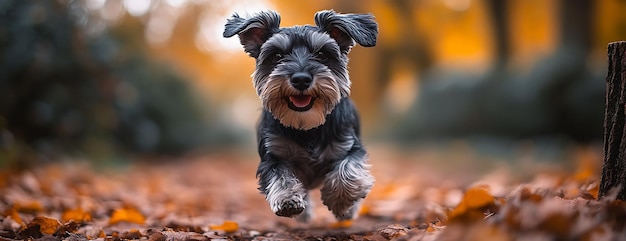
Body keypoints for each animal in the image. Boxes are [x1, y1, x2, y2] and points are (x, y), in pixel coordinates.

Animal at [224, 9, 378, 222]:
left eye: (321, 54)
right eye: (277, 55)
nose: (301, 79)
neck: (307, 127)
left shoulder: (351, 148)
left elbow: (347, 171)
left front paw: (340, 202)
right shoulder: (273, 156)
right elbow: (280, 177)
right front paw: (287, 200)